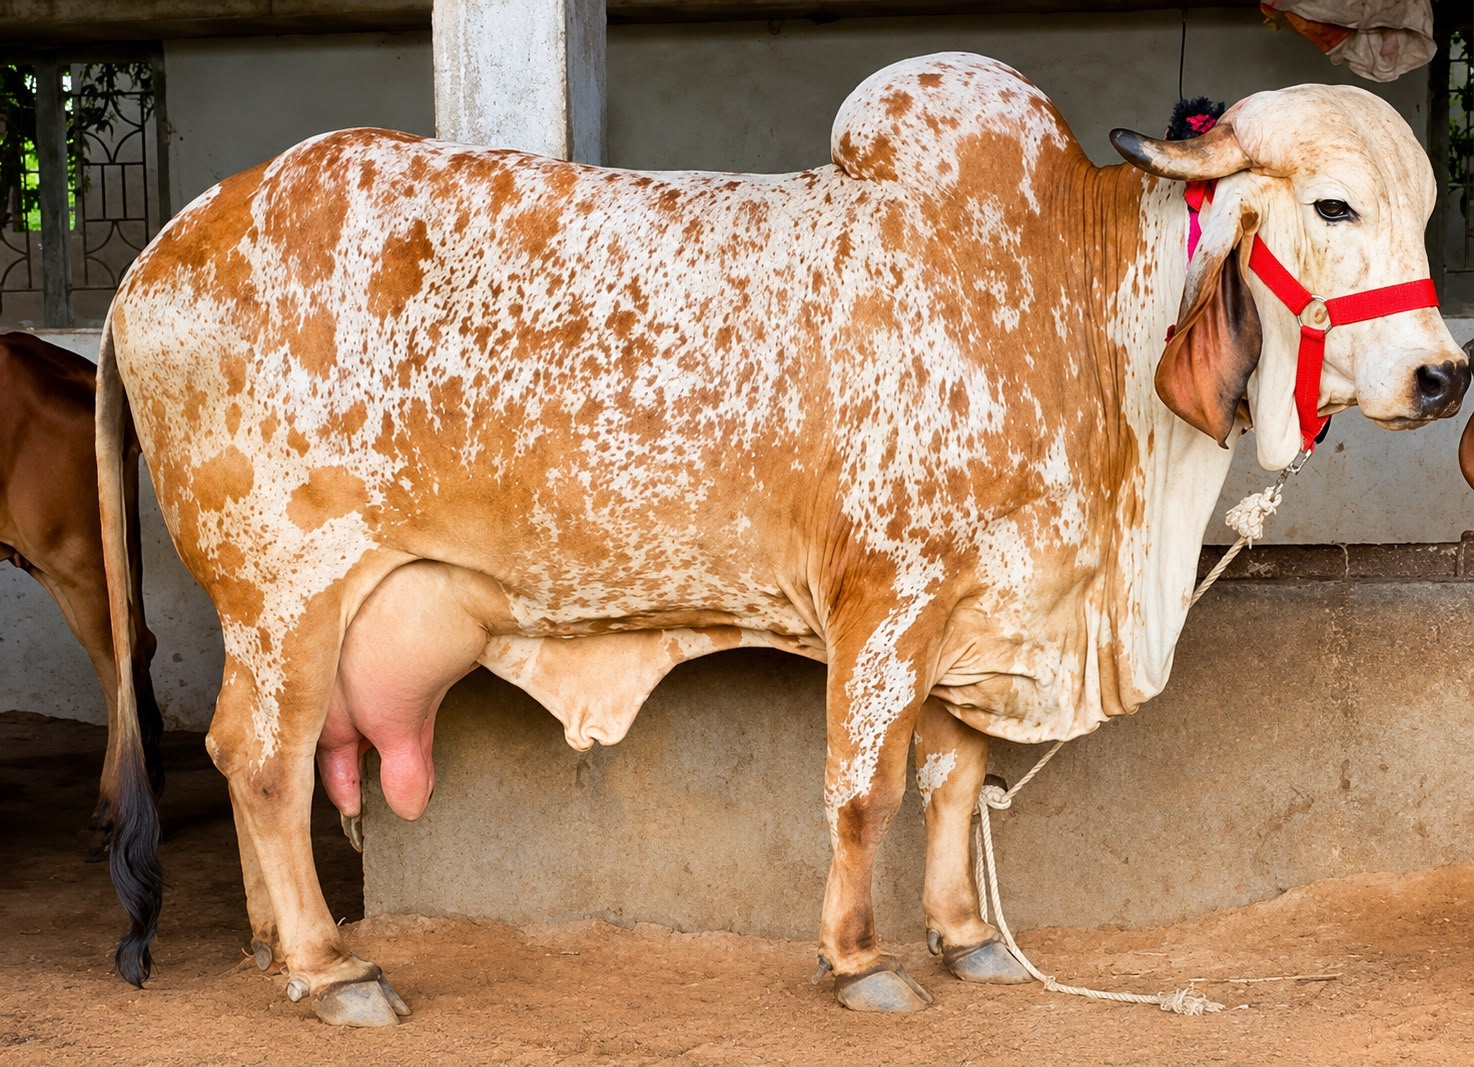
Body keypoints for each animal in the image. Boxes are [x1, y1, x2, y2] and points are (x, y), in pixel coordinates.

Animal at [93, 52, 1467, 1025]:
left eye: (1423, 213)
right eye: (1333, 205)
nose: (1442, 374)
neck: (1068, 308)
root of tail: (158, 254)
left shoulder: (978, 605)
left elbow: (951, 779)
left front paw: (966, 939)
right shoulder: (889, 596)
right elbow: (865, 788)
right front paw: (857, 960)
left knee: (244, 759)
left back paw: (276, 944)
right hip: (285, 590)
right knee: (260, 759)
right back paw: (329, 967)